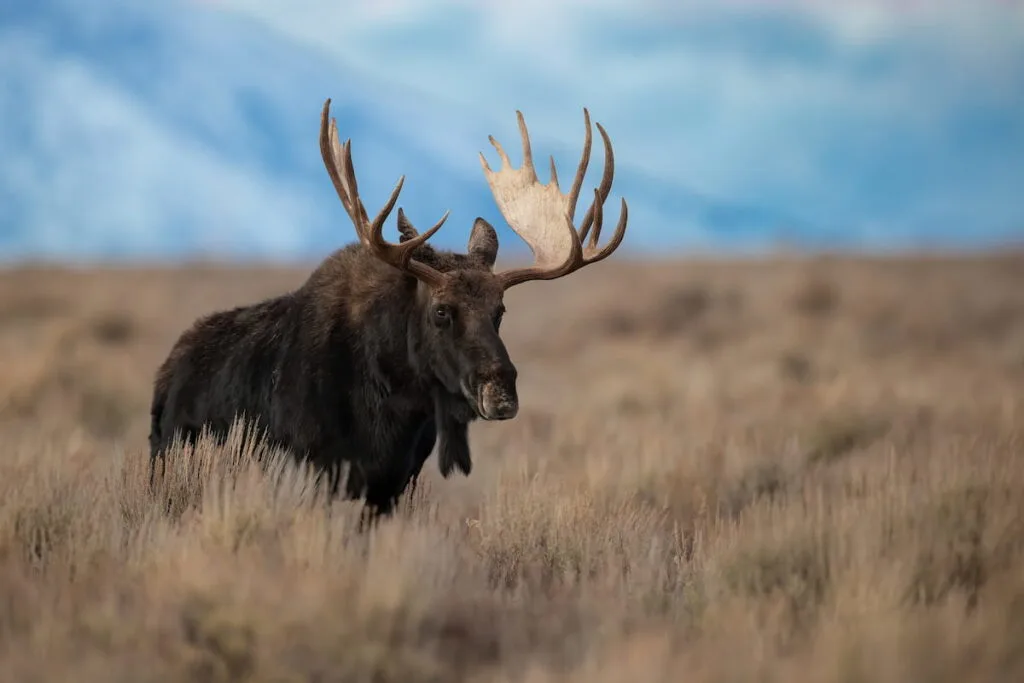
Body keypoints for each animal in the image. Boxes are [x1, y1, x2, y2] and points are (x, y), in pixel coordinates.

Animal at [148, 98, 626, 520]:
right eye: (441, 311)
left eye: (500, 310)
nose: (501, 392)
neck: (394, 406)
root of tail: (168, 370)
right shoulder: (314, 469)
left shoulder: (391, 485)